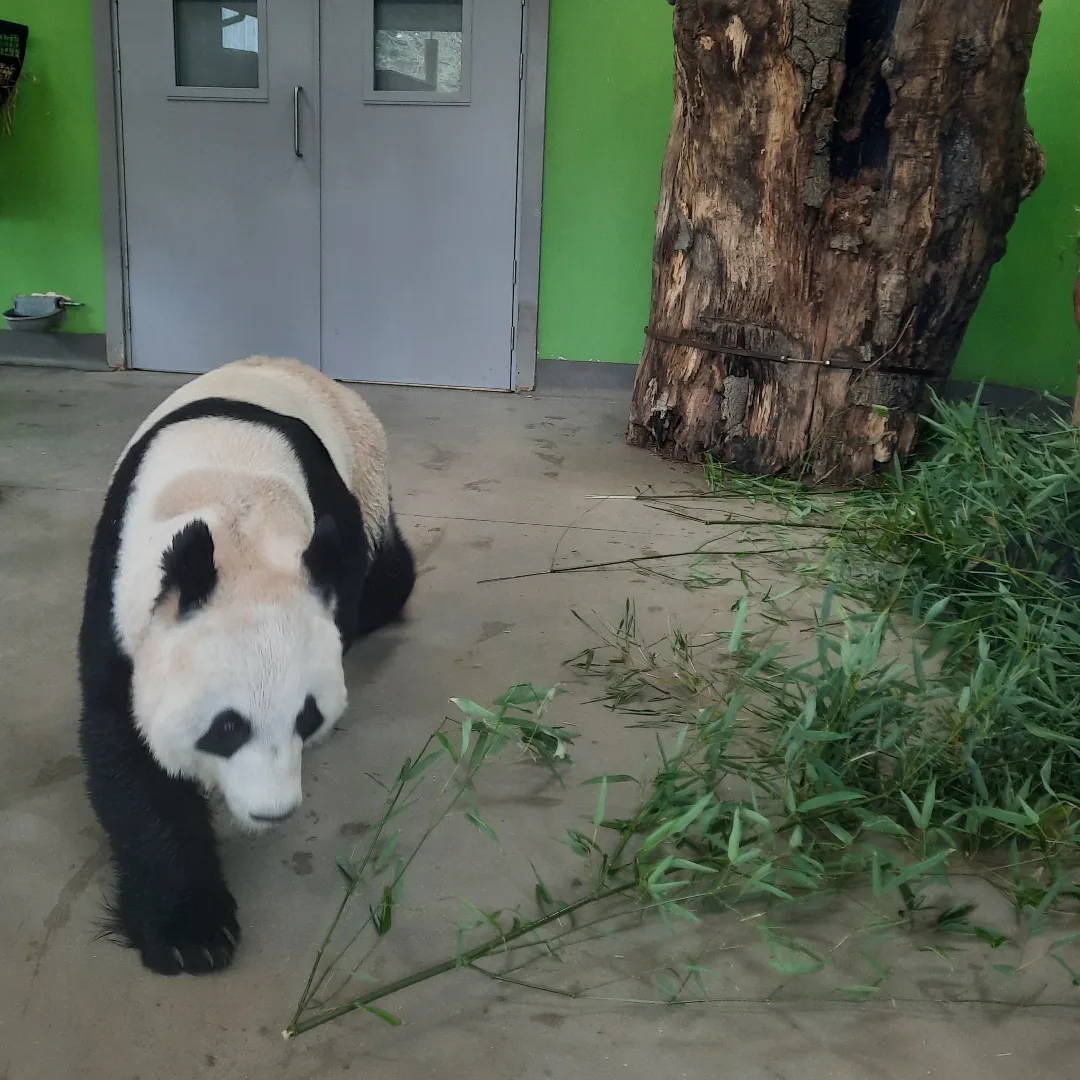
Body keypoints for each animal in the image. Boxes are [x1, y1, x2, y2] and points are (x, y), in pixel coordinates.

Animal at [77, 355, 415, 976]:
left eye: (308, 719)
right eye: (227, 727)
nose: (272, 812)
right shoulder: (119, 596)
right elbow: (125, 743)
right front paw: (190, 932)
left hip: (369, 473)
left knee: (387, 573)